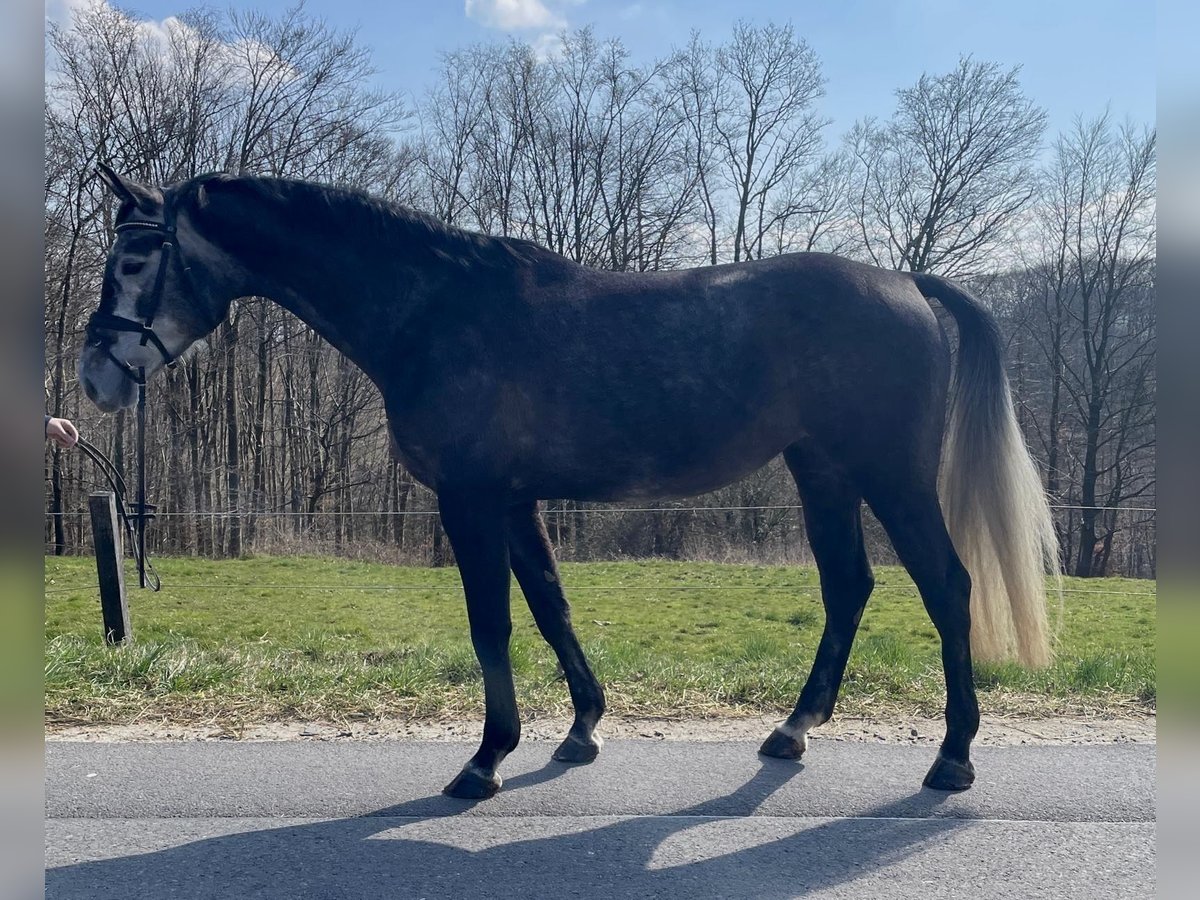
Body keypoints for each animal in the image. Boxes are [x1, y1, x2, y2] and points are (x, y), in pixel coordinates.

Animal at [79, 165, 1056, 801]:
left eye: (131, 261)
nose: (94, 376)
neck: (434, 310)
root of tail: (905, 282)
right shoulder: (513, 501)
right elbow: (552, 607)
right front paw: (582, 727)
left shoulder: (471, 502)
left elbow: (494, 626)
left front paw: (485, 760)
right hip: (822, 471)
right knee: (849, 586)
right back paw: (793, 730)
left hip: (891, 475)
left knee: (947, 586)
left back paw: (954, 756)